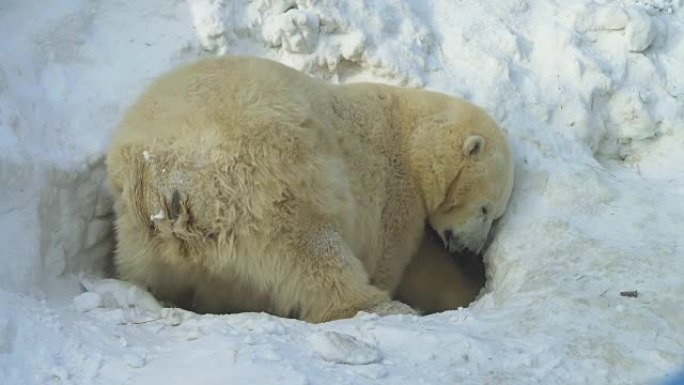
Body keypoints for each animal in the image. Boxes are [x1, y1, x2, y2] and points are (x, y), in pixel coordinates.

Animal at [107, 55, 512, 322]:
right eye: (486, 209)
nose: (471, 250)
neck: (411, 133)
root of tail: (169, 177)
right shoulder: (393, 188)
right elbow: (391, 253)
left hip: (138, 228)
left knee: (146, 269)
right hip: (268, 175)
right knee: (313, 248)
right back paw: (381, 305)